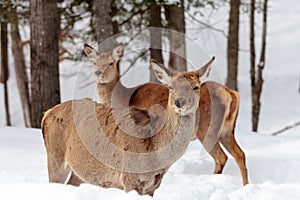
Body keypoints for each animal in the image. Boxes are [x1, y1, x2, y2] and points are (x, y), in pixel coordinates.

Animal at [41, 57, 214, 195]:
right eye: (171, 87)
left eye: (195, 87)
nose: (180, 102)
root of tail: (46, 114)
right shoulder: (129, 177)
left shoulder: (152, 186)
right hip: (55, 155)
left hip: (80, 171)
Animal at [82, 43, 248, 186]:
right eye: (94, 62)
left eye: (111, 63)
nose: (98, 73)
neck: (123, 99)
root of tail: (231, 93)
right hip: (226, 130)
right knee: (240, 154)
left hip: (207, 129)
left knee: (222, 157)